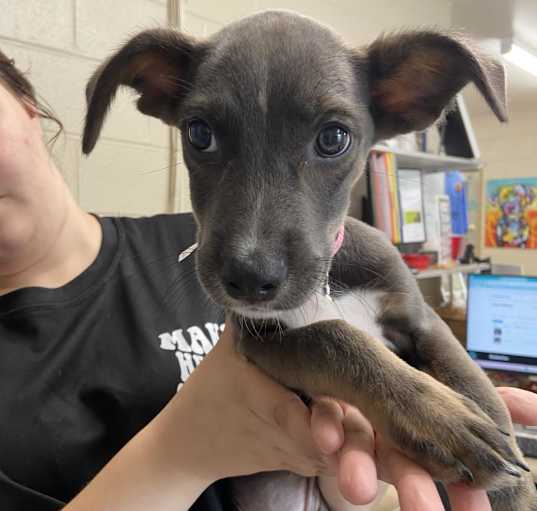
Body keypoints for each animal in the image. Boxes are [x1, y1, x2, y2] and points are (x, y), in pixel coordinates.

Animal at [81, 10, 532, 510]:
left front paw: (510, 483)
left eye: (334, 138)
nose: (249, 278)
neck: (328, 283)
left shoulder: (421, 321)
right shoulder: (261, 340)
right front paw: (440, 420)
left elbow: (474, 382)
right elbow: (333, 337)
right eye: (199, 134)